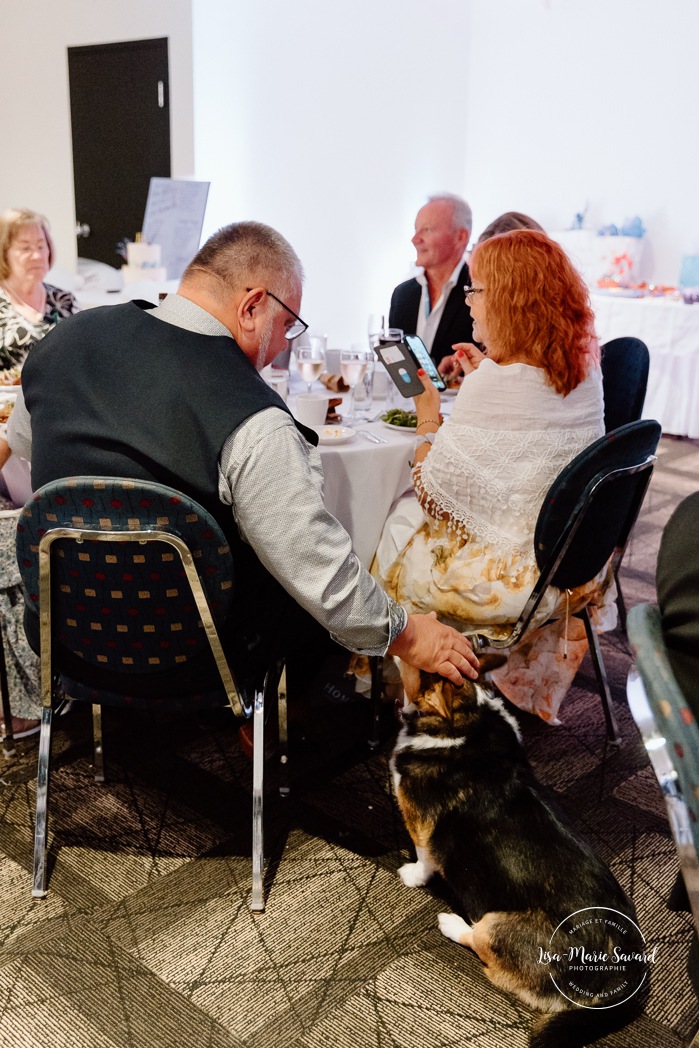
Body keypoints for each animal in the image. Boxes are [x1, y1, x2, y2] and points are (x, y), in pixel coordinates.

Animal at [394, 662, 649, 1048]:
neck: (468, 722)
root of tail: (629, 972)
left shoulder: (419, 822)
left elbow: (424, 858)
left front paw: (410, 875)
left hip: (496, 924)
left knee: (485, 951)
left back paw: (453, 924)